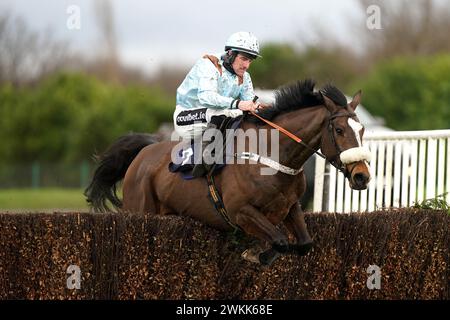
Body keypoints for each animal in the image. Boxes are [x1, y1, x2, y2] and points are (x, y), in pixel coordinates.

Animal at [83, 79, 370, 264]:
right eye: (339, 130)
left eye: (363, 129)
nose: (362, 176)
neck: (270, 157)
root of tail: (145, 151)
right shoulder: (239, 210)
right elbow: (279, 239)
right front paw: (255, 253)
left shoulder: (290, 207)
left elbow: (303, 243)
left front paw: (258, 252)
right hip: (139, 211)